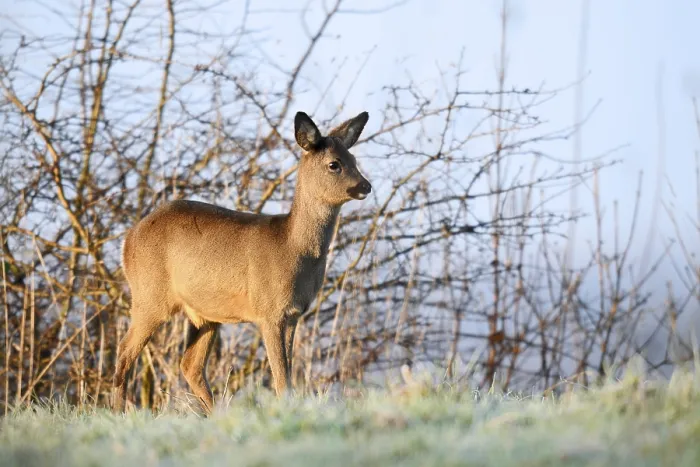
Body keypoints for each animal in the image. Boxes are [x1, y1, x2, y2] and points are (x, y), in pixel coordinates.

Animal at [112, 110, 372, 415]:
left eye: (353, 159)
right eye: (334, 164)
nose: (365, 186)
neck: (291, 247)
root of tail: (128, 239)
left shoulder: (294, 314)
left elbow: (288, 372)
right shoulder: (270, 310)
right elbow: (280, 376)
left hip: (205, 314)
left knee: (190, 365)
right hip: (149, 295)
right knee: (124, 352)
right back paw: (117, 412)